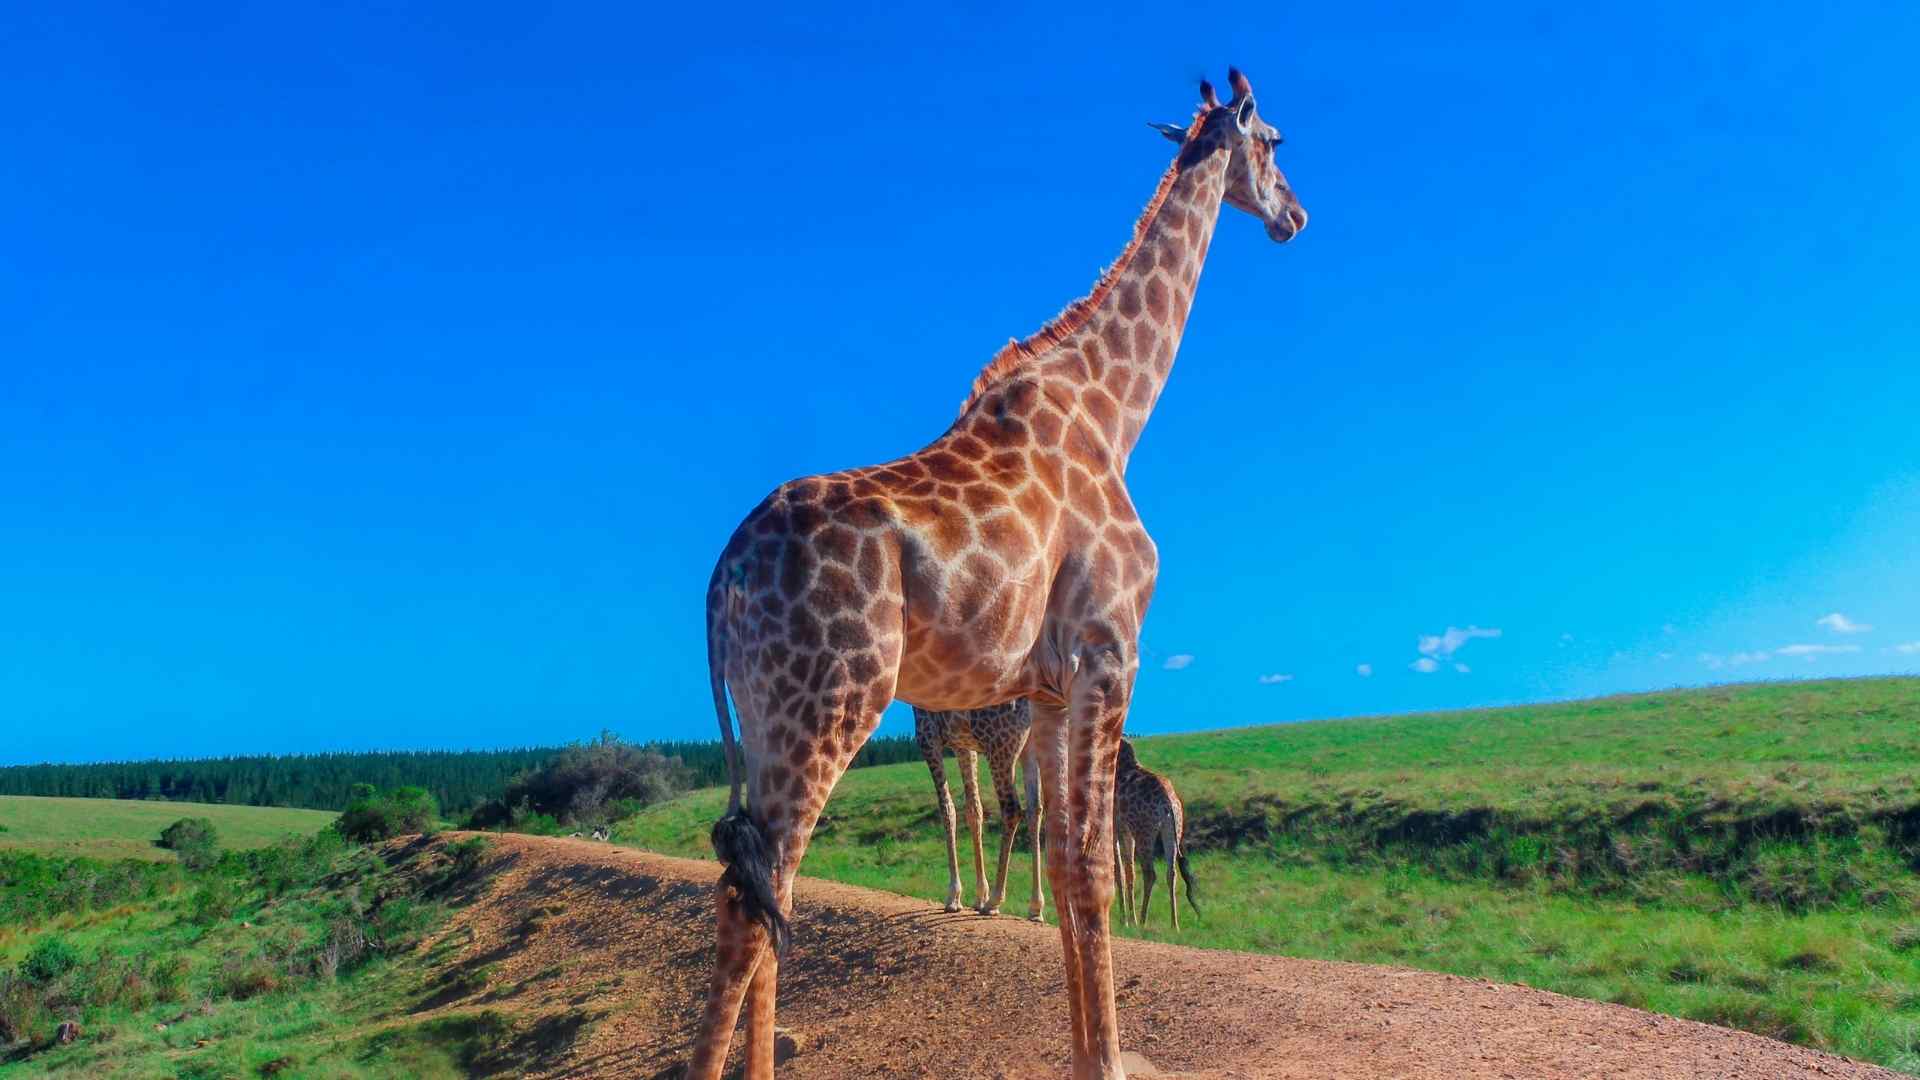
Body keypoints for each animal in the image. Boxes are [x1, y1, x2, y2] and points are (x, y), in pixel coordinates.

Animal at [910, 699, 1044, 914]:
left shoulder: (927, 734)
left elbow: (947, 808)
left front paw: (954, 896)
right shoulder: (963, 745)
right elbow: (974, 809)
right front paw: (980, 895)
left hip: (999, 746)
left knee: (1012, 809)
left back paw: (995, 901)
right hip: (1030, 745)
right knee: (1035, 809)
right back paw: (1035, 907)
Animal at [1113, 737, 1198, 926]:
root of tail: (1167, 800)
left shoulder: (1114, 827)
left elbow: (1119, 871)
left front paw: (1126, 920)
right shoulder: (1126, 830)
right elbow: (1129, 871)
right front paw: (1130, 919)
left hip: (1144, 832)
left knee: (1150, 873)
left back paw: (1143, 921)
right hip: (1172, 829)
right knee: (1171, 873)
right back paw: (1174, 925)